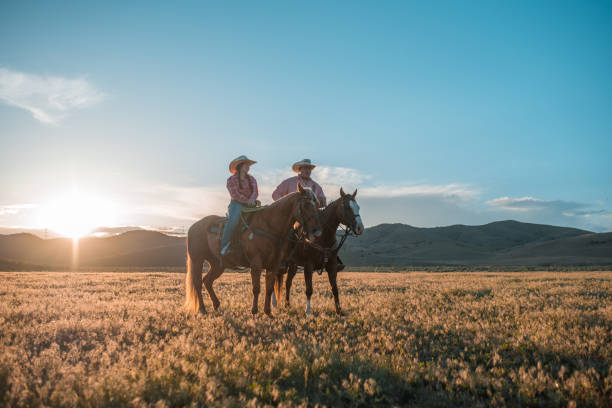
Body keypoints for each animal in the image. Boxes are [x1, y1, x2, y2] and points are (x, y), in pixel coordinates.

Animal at [185, 185, 322, 316]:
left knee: (207, 281)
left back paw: (216, 304)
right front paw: (254, 311)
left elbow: (269, 288)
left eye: (318, 205)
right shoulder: (256, 263)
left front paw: (268, 312)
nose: (317, 231)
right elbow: (256, 288)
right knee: (197, 283)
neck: (269, 226)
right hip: (197, 260)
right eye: (306, 205)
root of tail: (193, 227)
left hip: (218, 264)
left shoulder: (273, 264)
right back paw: (202, 309)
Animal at [274, 188, 364, 316]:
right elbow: (309, 290)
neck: (323, 237)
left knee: (287, 283)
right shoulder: (308, 266)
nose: (360, 228)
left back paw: (287, 305)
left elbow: (334, 289)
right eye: (347, 207)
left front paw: (339, 310)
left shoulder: (331, 266)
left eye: (358, 207)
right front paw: (308, 311)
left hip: (293, 265)